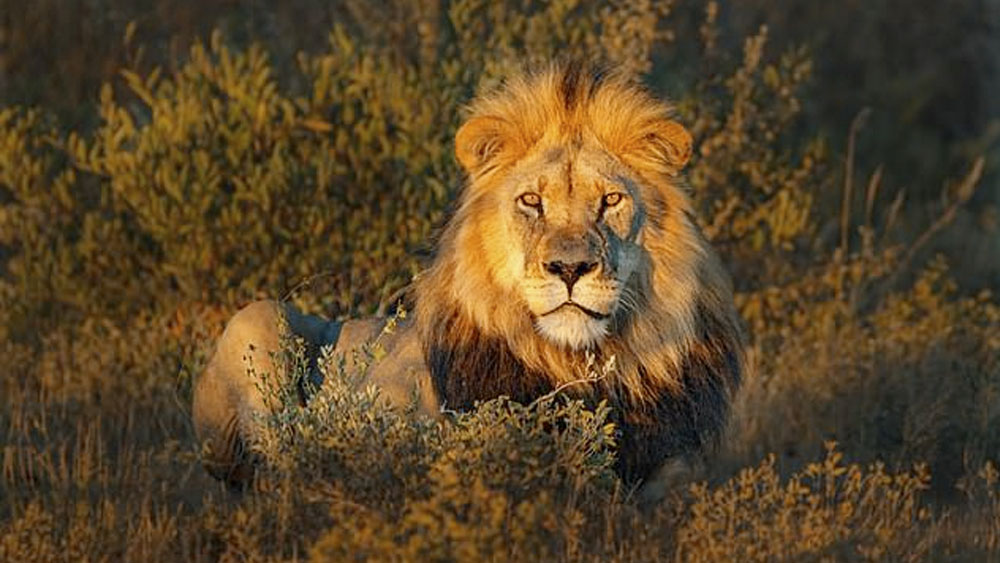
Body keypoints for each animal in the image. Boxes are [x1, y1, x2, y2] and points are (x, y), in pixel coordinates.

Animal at [192, 62, 745, 496]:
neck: (575, 362)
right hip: (258, 318)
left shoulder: (678, 460)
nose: (569, 269)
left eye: (610, 201)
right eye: (531, 201)